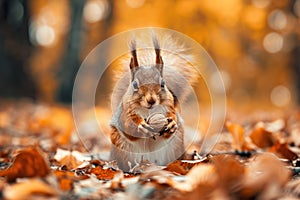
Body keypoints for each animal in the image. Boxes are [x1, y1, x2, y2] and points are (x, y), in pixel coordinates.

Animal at [109, 34, 197, 172]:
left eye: (163, 83)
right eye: (135, 84)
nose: (151, 100)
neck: (148, 110)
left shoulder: (169, 107)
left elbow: (173, 116)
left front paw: (172, 124)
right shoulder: (125, 112)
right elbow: (128, 124)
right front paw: (141, 126)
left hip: (175, 146)